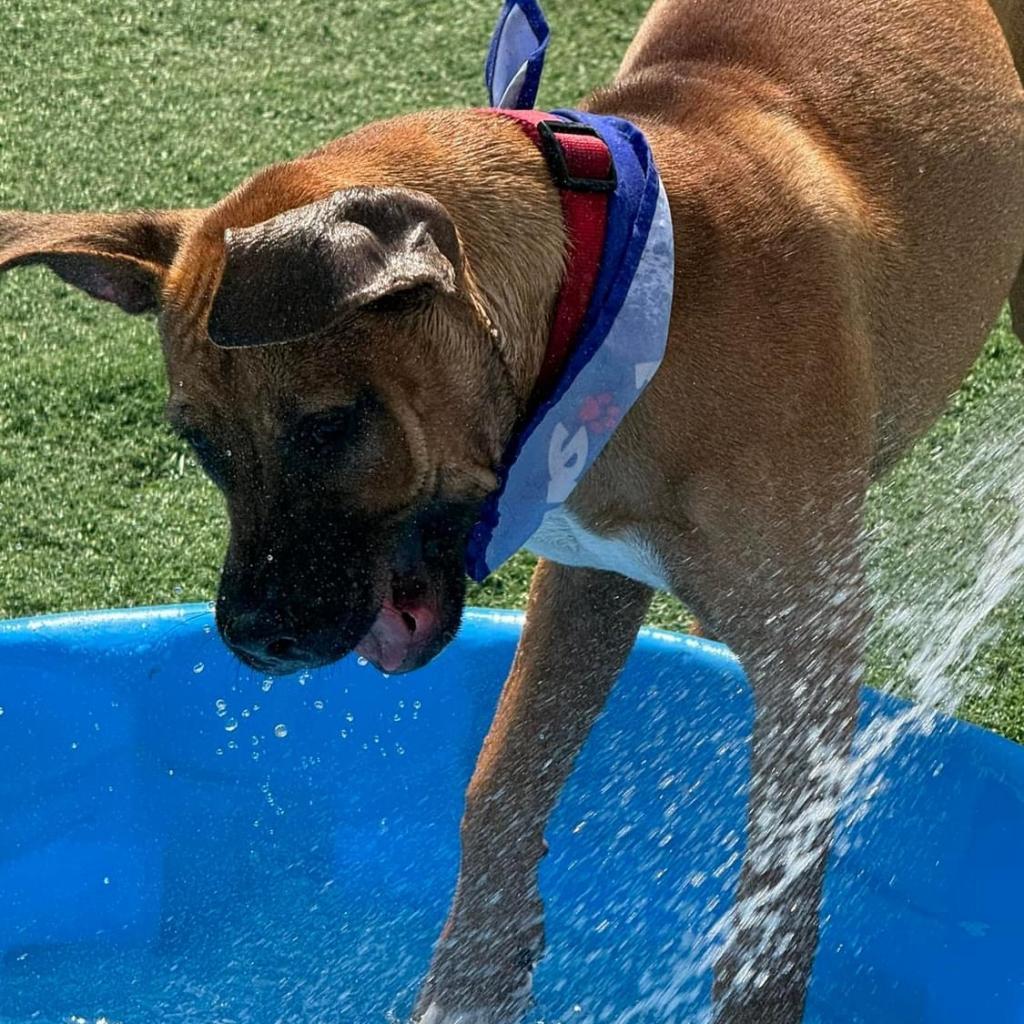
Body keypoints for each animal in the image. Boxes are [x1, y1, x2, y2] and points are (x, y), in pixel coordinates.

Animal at [2, 2, 1024, 1024]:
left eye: (328, 426)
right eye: (203, 445)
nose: (249, 637)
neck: (628, 293)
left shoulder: (807, 643)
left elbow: (778, 884)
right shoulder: (589, 582)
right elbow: (501, 781)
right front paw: (476, 971)